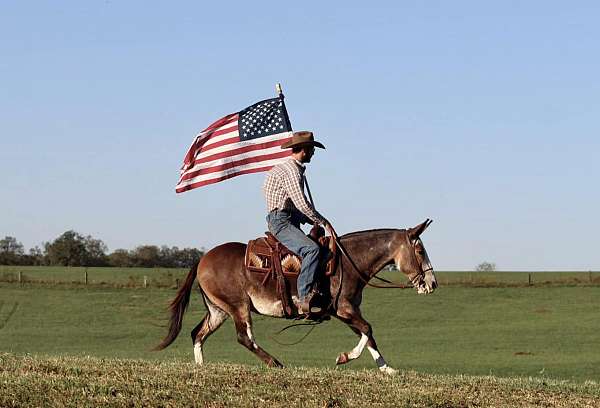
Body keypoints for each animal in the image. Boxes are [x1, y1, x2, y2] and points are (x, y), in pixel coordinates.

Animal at [155, 220, 436, 372]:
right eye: (420, 250)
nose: (432, 283)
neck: (348, 262)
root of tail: (202, 259)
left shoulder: (347, 312)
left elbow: (368, 336)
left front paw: (387, 368)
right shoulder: (344, 309)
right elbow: (368, 329)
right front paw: (344, 357)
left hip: (218, 310)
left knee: (198, 334)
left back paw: (201, 367)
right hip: (238, 306)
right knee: (244, 338)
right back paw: (275, 363)